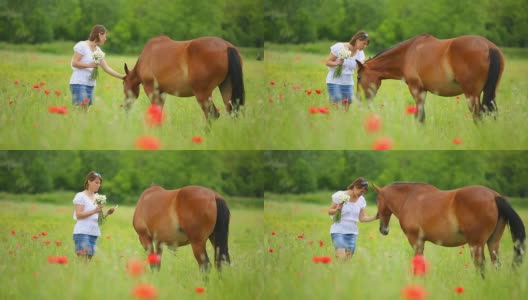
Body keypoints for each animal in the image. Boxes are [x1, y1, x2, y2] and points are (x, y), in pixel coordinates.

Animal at [356, 35, 506, 123]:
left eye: (359, 77)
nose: (358, 99)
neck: (407, 53)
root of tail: (489, 47)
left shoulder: (417, 89)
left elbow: (420, 117)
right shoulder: (423, 91)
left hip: (471, 95)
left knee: (478, 116)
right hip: (490, 94)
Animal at [374, 182, 524, 276]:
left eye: (377, 200)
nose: (383, 229)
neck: (409, 198)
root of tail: (494, 196)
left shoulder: (416, 240)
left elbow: (418, 261)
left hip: (476, 244)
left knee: (480, 265)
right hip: (493, 242)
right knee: (495, 263)